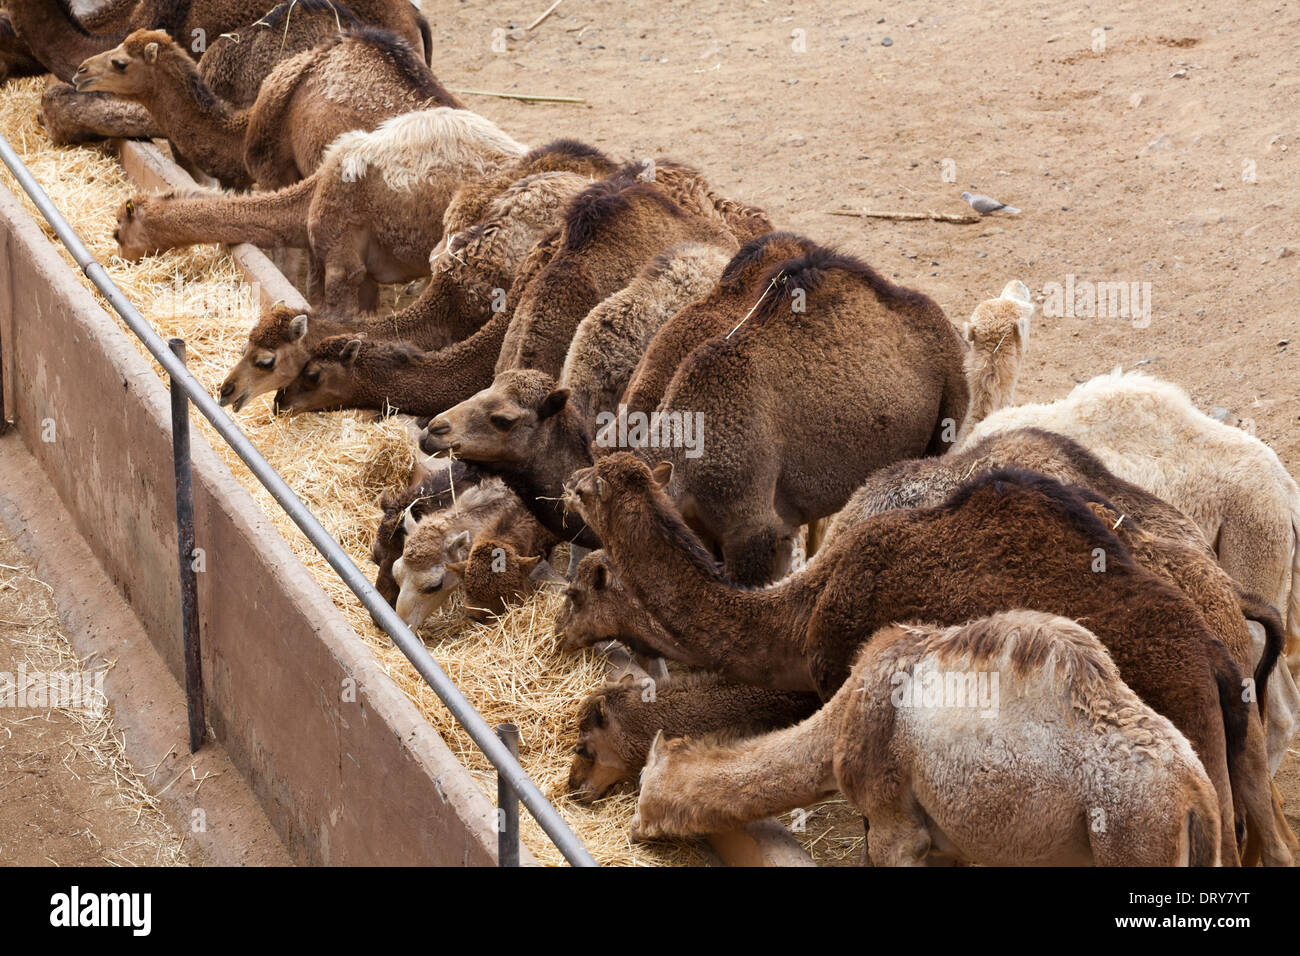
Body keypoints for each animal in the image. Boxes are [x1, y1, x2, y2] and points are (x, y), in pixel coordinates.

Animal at [632, 611, 1223, 867]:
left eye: (641, 787)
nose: (634, 829)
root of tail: (1197, 796)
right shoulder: (950, 838)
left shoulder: (894, 822)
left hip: (1131, 837)